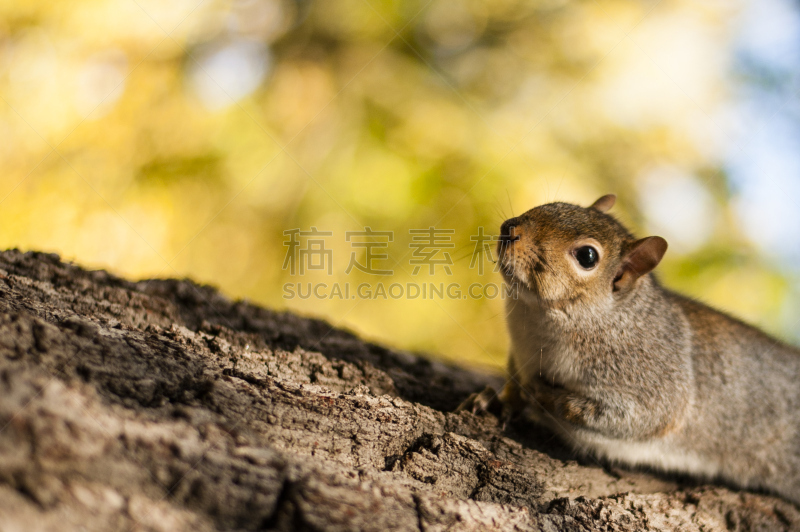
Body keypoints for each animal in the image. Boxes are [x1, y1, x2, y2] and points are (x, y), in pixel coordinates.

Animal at [460, 194, 800, 502]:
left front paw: (544, 394)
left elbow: (636, 417)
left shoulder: (650, 377)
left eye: (587, 256)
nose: (509, 228)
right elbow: (514, 386)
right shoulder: (520, 355)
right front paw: (498, 401)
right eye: (555, 203)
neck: (536, 316)